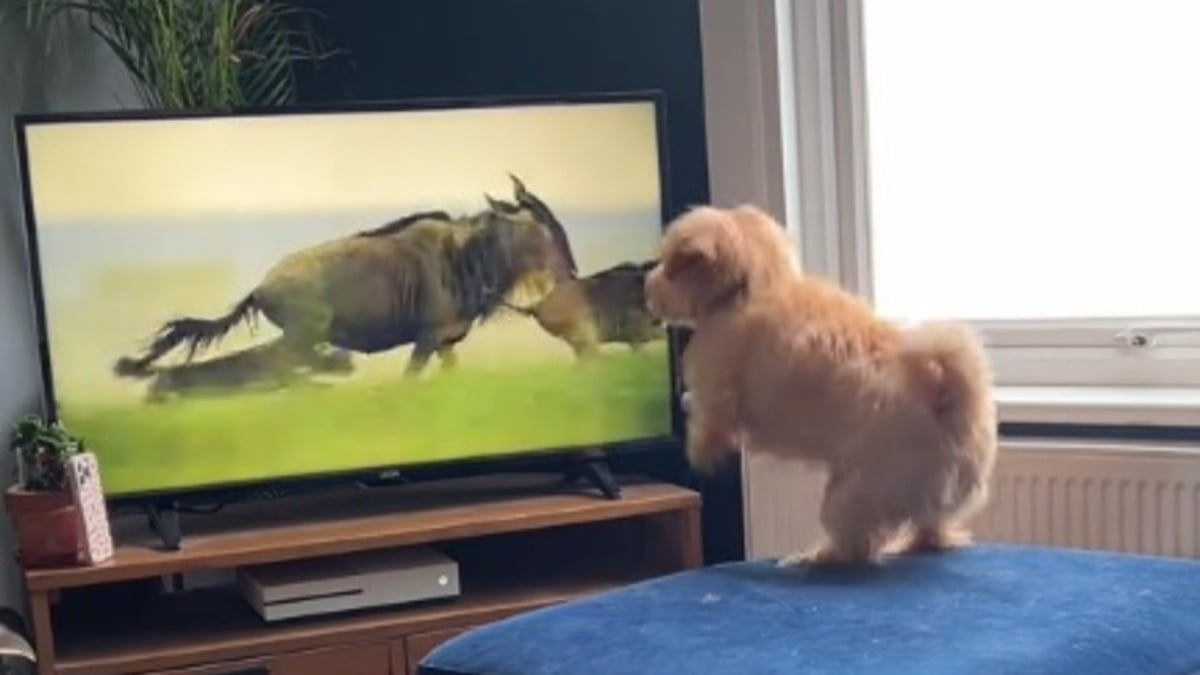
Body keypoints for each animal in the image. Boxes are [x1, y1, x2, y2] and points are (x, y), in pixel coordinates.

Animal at [643, 204, 998, 562]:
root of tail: (944, 397)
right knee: (931, 530)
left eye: (670, 268)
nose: (646, 284)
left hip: (850, 495)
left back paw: (816, 557)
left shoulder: (716, 389)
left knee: (854, 545)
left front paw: (700, 452)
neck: (750, 286)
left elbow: (706, 424)